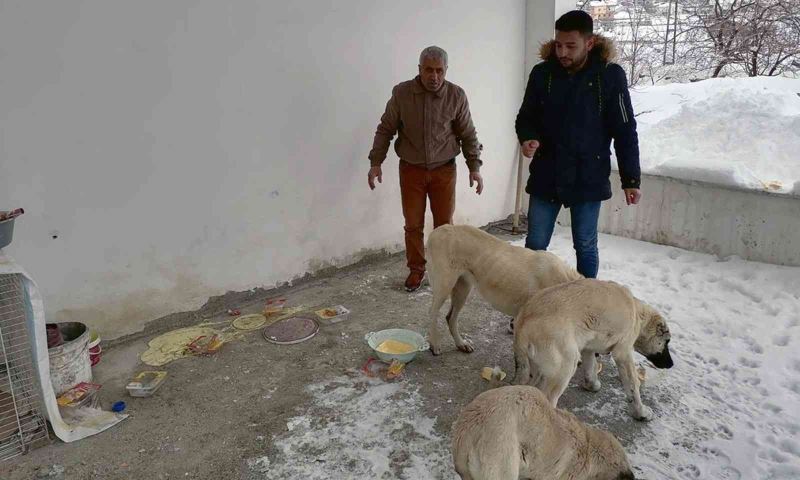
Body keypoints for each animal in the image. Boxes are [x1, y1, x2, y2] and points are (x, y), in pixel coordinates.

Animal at [428, 223, 580, 354]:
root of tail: (440, 229)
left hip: (462, 289)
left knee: (450, 317)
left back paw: (461, 343)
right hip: (444, 285)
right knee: (433, 312)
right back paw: (434, 344)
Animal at [512, 278, 676, 420]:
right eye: (667, 341)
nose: (671, 365)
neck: (637, 312)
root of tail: (522, 326)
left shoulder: (588, 348)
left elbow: (591, 368)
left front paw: (592, 385)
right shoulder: (623, 353)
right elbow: (633, 386)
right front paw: (641, 413)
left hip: (536, 370)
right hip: (565, 365)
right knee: (548, 398)